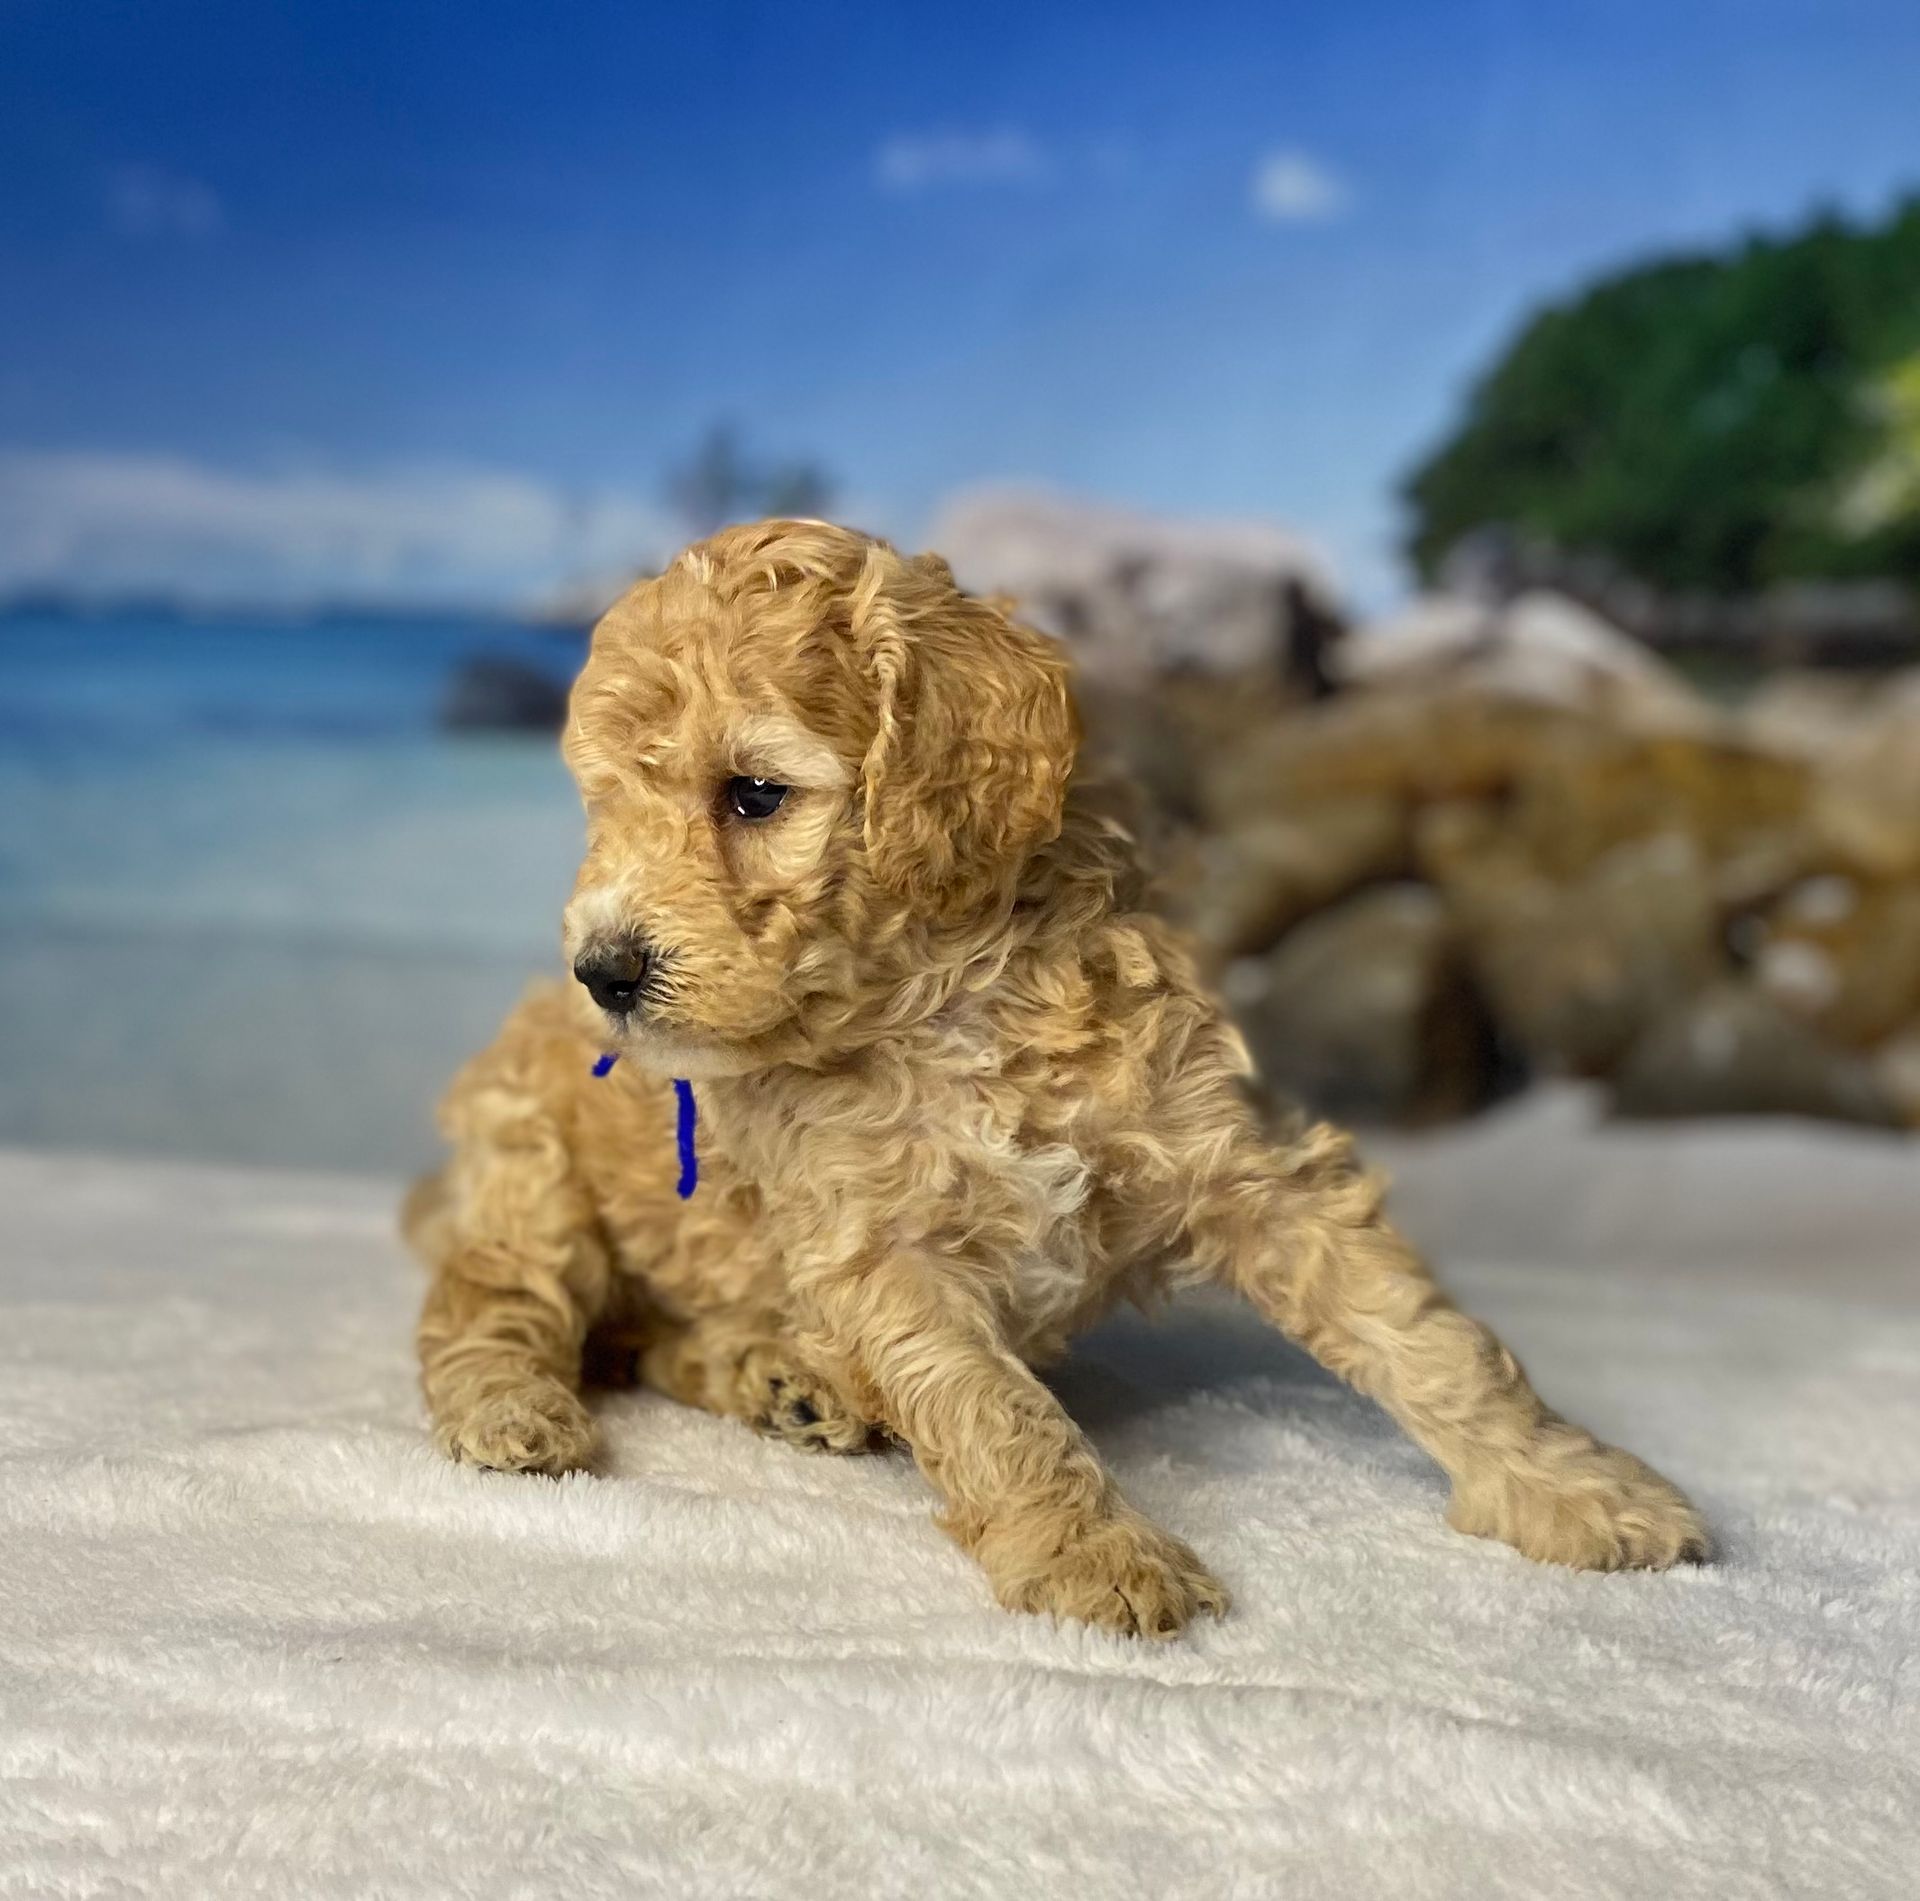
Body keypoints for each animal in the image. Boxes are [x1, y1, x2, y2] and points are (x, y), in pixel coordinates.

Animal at [408, 518, 1712, 1636]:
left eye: (755, 794)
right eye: (603, 809)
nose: (604, 969)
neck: (948, 1003)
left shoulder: (1242, 1151)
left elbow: (1423, 1329)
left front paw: (1572, 1486)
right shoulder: (882, 1253)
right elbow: (997, 1409)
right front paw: (1097, 1555)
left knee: (643, 1337)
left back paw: (783, 1376)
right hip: (531, 1168)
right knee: (492, 1301)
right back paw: (515, 1411)